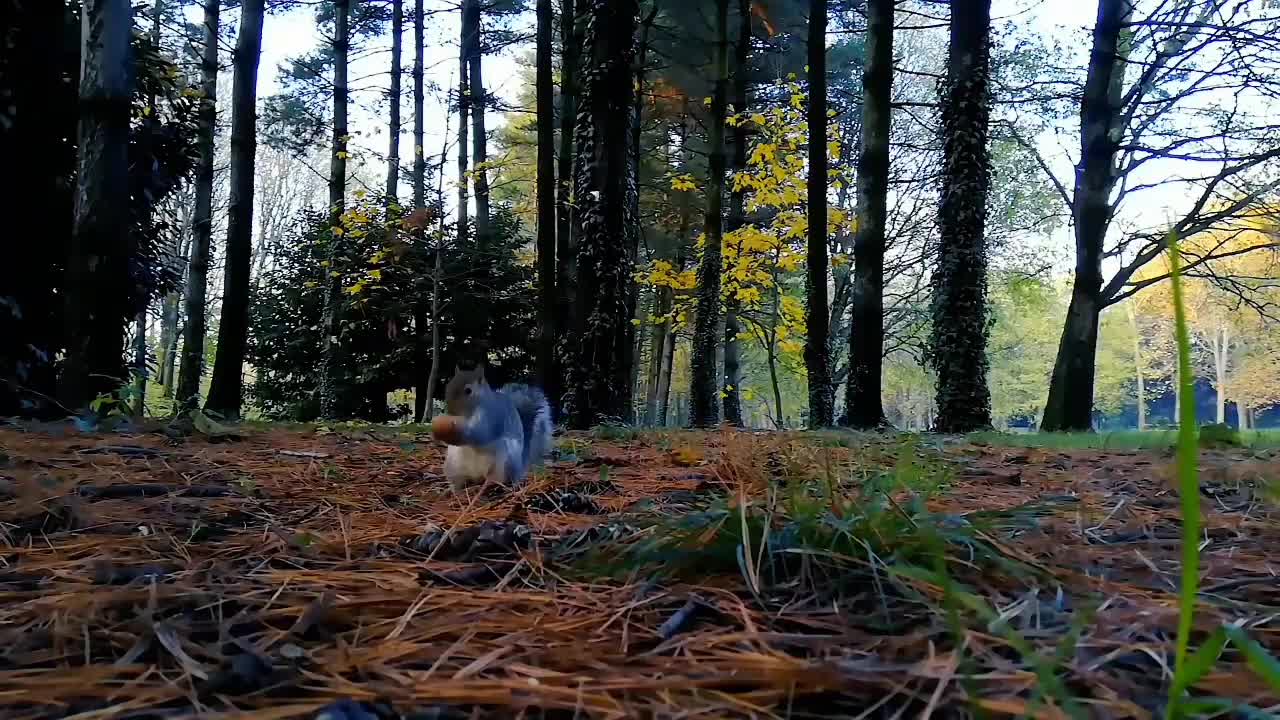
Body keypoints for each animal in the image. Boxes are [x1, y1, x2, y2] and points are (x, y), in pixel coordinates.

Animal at [432, 363, 552, 491]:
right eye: (448, 386)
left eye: (468, 391)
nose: (450, 411)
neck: (468, 414)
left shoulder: (493, 416)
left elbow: (481, 433)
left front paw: (455, 429)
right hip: (453, 465)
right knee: (458, 482)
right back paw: (452, 490)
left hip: (505, 463)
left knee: (498, 480)